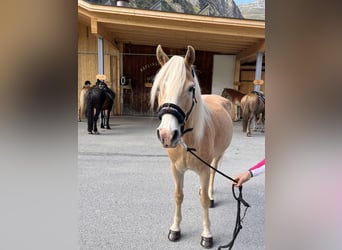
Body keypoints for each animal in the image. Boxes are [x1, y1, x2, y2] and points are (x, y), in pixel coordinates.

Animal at [151, 45, 234, 248]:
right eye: (160, 87)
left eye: (190, 88)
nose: (167, 135)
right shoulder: (176, 169)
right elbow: (178, 196)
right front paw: (175, 229)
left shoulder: (204, 169)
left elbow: (203, 201)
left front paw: (207, 234)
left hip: (218, 156)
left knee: (213, 176)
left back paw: (211, 195)